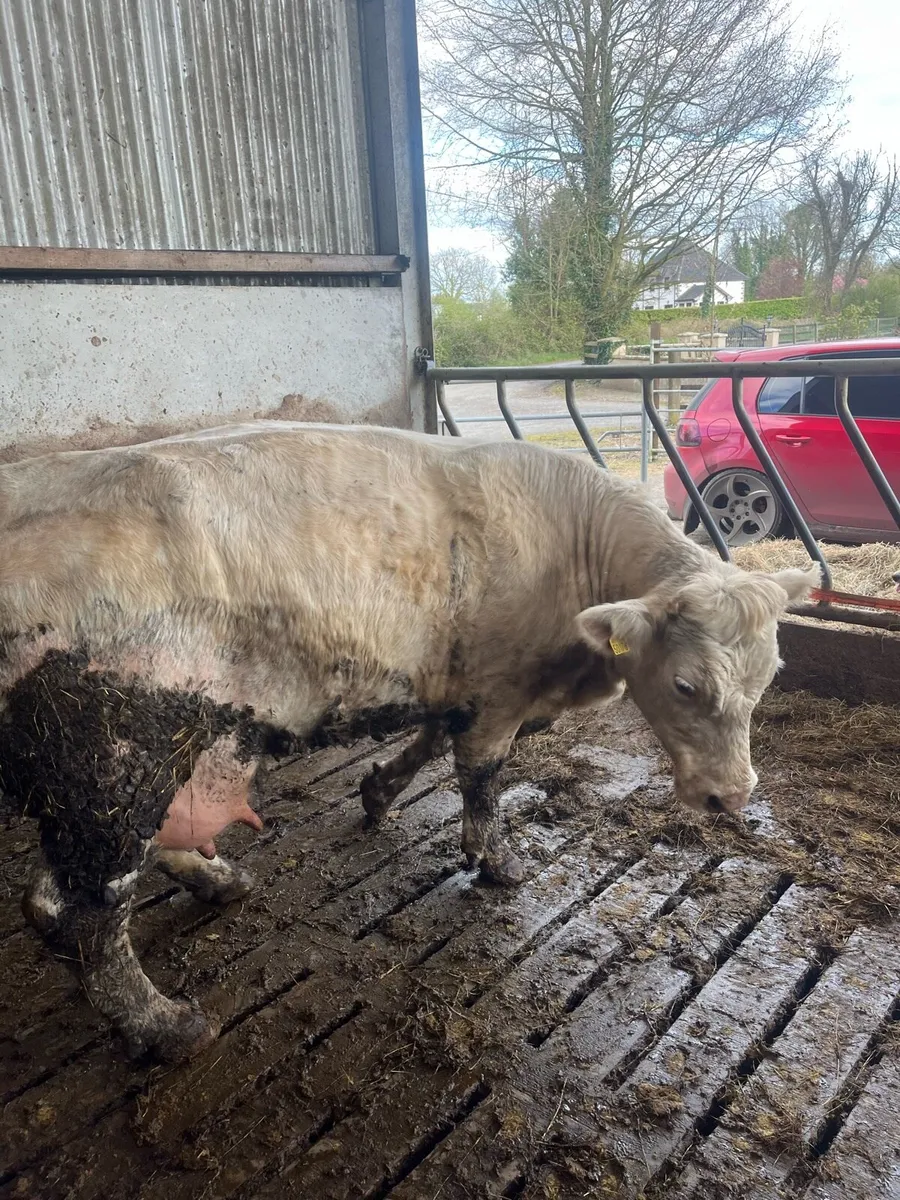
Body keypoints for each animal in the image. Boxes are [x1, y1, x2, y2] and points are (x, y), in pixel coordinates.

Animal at [0, 422, 817, 1062]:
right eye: (684, 685)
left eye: (772, 671)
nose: (732, 795)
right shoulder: (500, 686)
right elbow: (482, 774)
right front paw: (496, 861)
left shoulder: (459, 680)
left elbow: (429, 740)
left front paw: (379, 790)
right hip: (112, 746)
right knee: (97, 904)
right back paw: (161, 1024)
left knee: (70, 885)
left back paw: (204, 880)